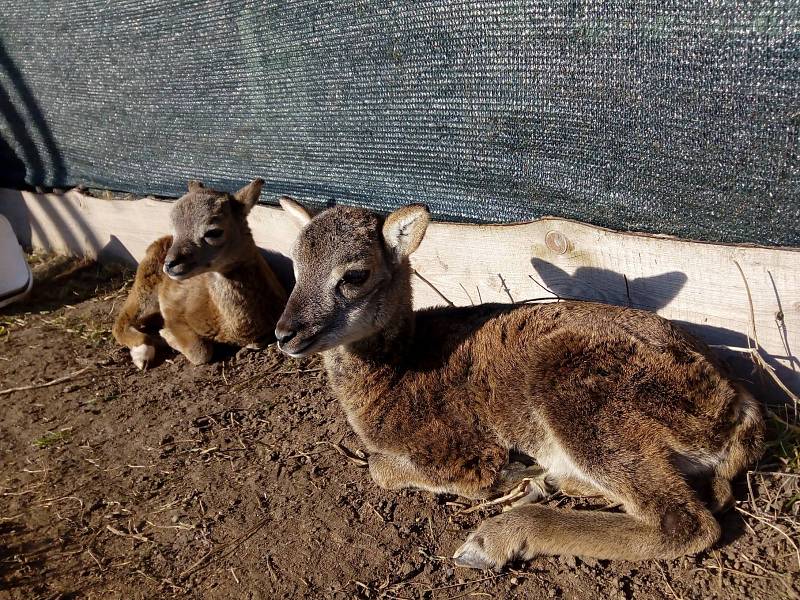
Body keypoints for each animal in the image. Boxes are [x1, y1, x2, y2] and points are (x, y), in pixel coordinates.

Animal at [111, 178, 288, 368]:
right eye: (175, 230)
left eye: (214, 231)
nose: (170, 264)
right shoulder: (173, 312)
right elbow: (200, 352)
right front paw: (166, 335)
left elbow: (254, 344)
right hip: (145, 288)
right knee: (120, 322)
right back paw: (143, 354)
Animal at [274, 198, 764, 572]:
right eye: (295, 267)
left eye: (354, 275)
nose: (285, 334)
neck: (402, 369)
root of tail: (739, 410)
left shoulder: (462, 450)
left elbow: (381, 467)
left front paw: (508, 474)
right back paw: (551, 481)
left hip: (577, 390)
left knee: (684, 522)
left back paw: (494, 538)